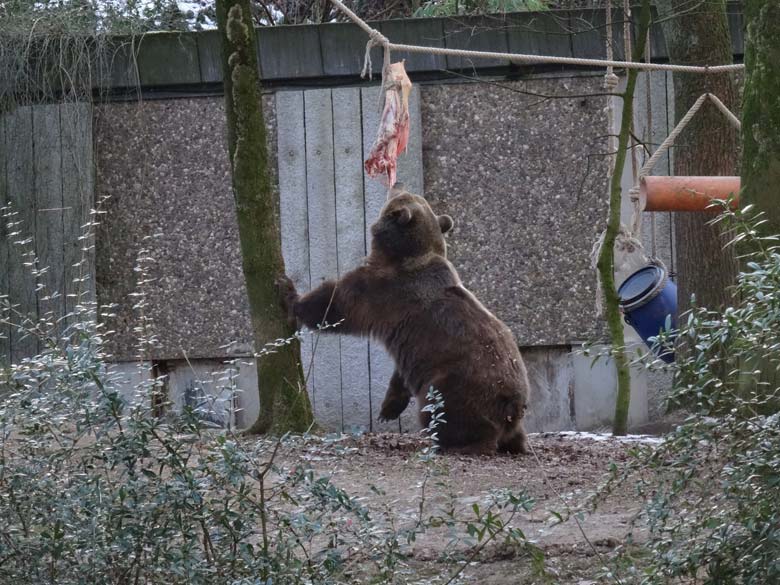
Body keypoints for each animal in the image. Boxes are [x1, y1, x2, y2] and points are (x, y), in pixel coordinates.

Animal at [278, 185, 532, 454]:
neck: (405, 255)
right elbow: (399, 374)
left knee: (444, 412)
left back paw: (451, 444)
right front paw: (388, 409)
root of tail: (512, 404)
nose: (395, 183)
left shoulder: (384, 290)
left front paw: (288, 293)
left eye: (397, 198)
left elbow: (335, 304)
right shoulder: (409, 342)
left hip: (457, 383)